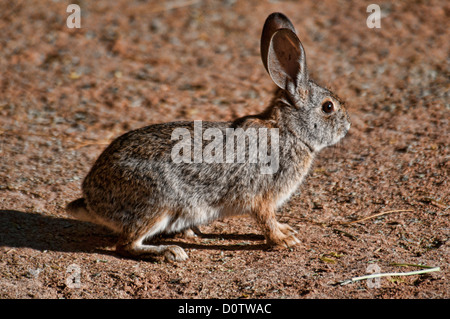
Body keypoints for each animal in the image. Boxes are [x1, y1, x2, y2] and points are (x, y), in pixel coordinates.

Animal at [65, 12, 350, 262]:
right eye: (328, 107)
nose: (347, 126)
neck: (290, 131)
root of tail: (92, 199)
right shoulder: (262, 197)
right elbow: (266, 220)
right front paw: (284, 240)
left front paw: (287, 230)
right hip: (157, 204)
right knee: (126, 244)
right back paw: (170, 252)